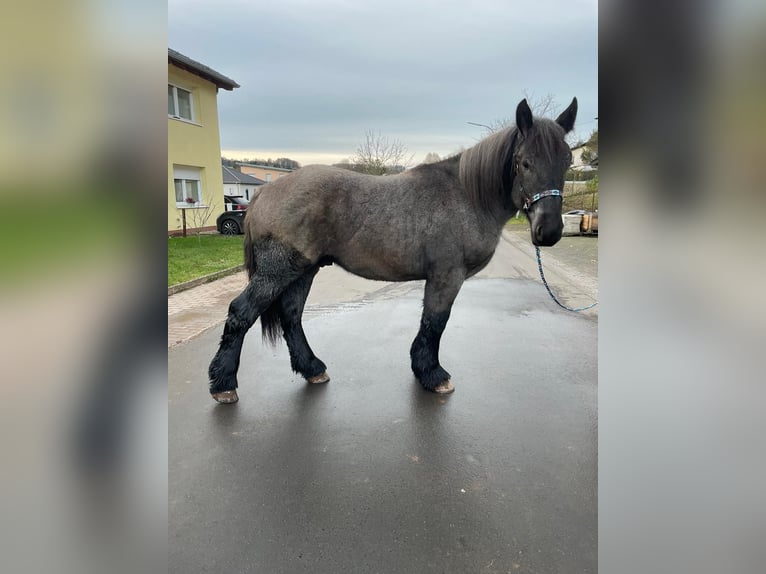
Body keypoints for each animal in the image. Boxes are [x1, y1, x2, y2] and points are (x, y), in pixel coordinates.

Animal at [207, 98, 580, 404]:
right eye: (525, 162)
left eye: (567, 161)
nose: (549, 231)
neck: (466, 195)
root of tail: (264, 193)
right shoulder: (447, 276)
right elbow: (435, 322)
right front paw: (433, 375)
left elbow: (432, 323)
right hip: (278, 271)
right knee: (241, 313)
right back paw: (224, 385)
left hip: (304, 270)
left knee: (291, 316)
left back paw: (312, 368)